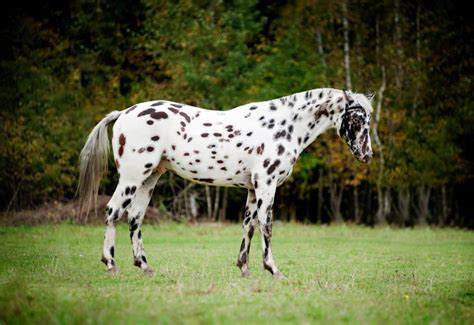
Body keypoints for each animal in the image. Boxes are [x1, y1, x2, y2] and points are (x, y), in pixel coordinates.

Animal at [78, 87, 374, 278]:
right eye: (356, 118)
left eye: (368, 119)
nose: (366, 154)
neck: (283, 126)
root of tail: (123, 113)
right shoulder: (266, 184)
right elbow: (266, 225)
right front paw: (273, 269)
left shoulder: (253, 188)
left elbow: (249, 226)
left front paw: (244, 267)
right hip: (132, 177)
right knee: (113, 212)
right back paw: (111, 264)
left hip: (149, 178)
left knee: (135, 218)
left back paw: (144, 266)